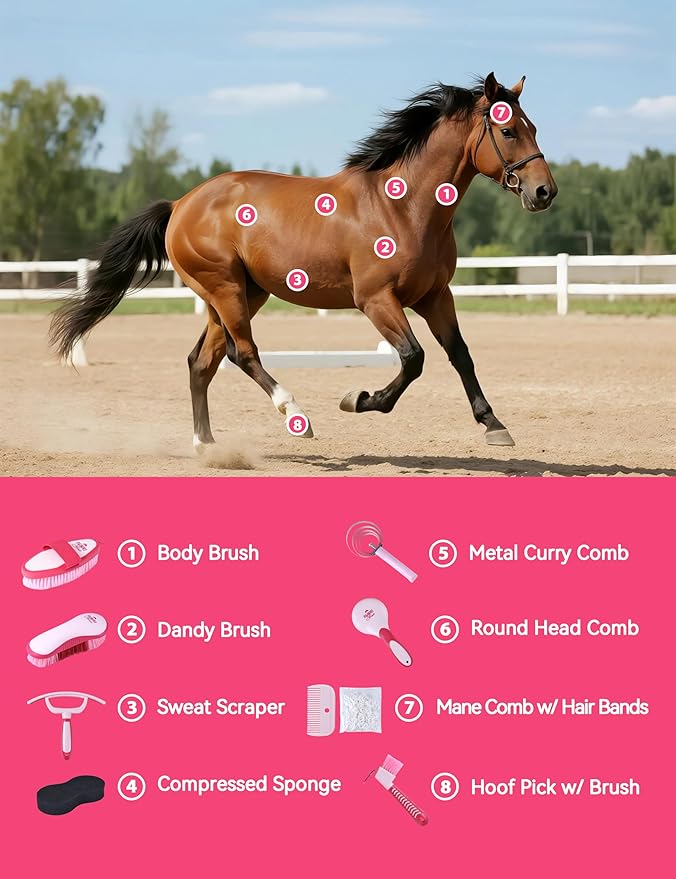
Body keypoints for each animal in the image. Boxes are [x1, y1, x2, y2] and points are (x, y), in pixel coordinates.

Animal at [51, 72, 557, 451]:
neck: (405, 206)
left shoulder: (435, 296)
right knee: (241, 352)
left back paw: (207, 446)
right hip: (225, 289)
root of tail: (181, 204)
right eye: (508, 130)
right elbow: (413, 358)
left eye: (533, 127)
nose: (544, 192)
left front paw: (494, 425)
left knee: (202, 361)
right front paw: (359, 399)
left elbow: (460, 354)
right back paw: (296, 415)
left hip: (238, 294)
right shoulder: (376, 300)